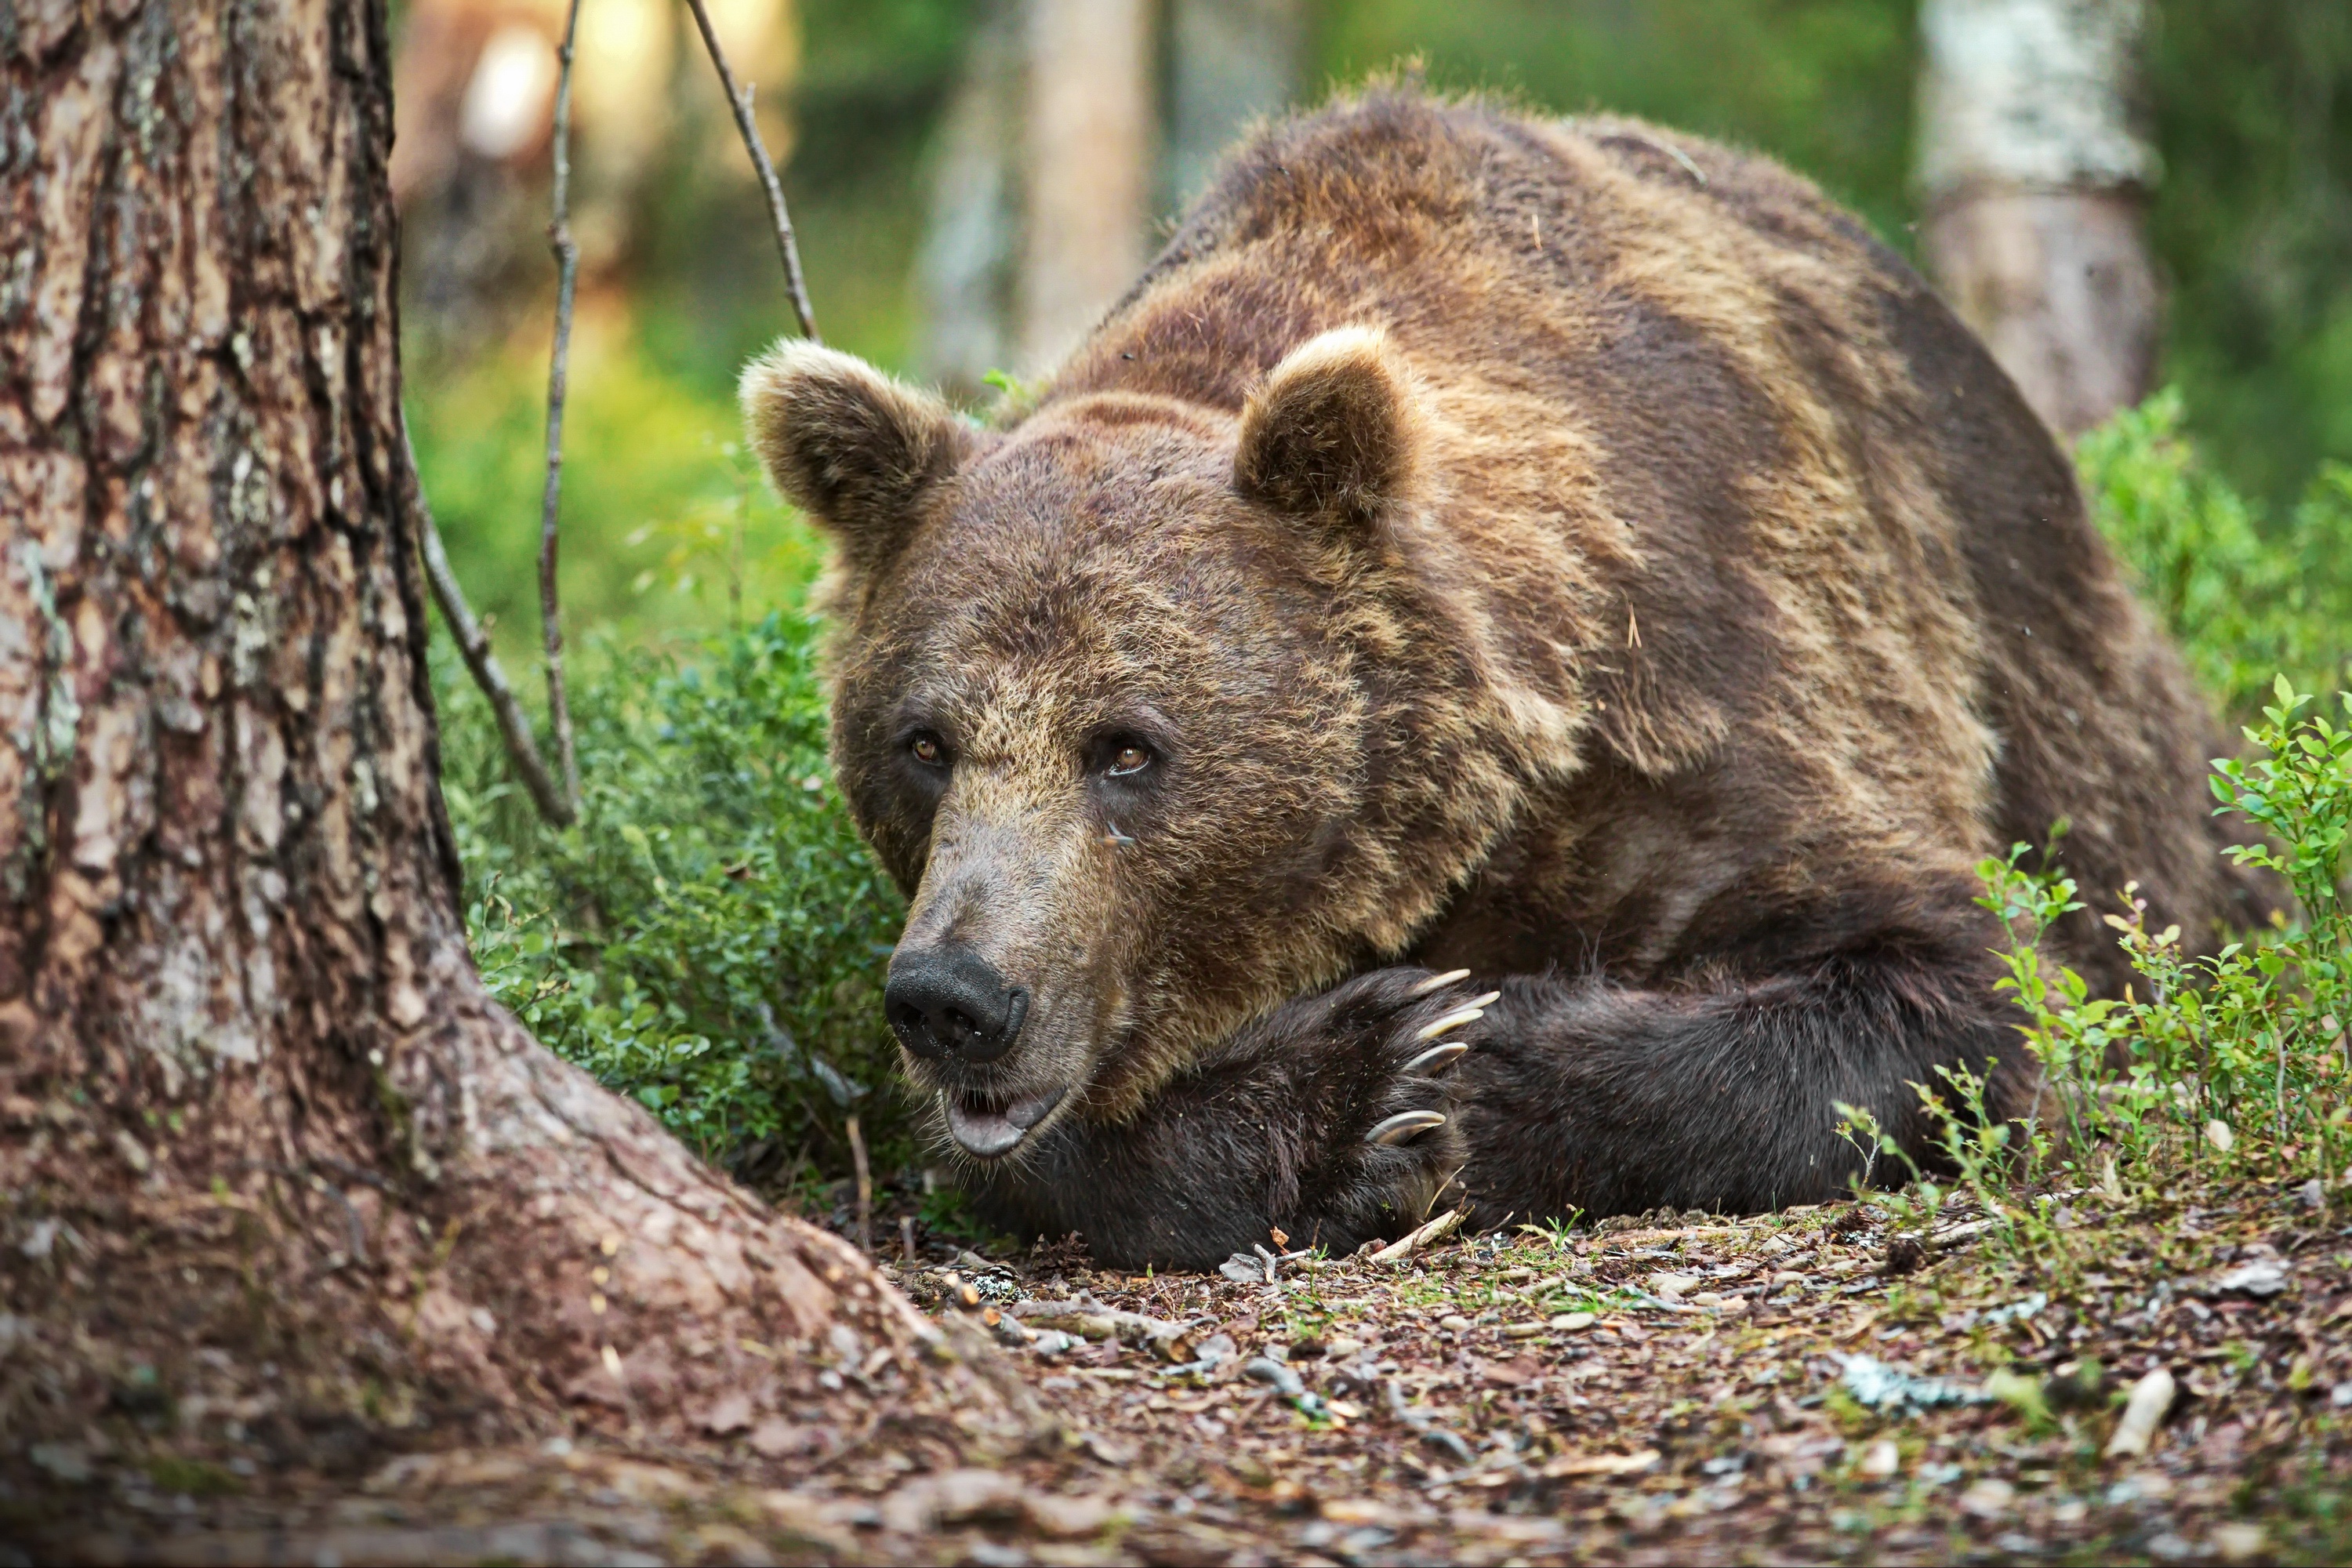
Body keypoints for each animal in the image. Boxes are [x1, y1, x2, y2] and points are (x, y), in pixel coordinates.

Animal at [743, 85, 2267, 1269]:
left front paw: (1451, 1056)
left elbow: (1956, 986)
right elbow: (1034, 1144)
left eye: (1128, 745)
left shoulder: (1711, 691)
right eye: (925, 741)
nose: (958, 1000)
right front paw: (1362, 1085)